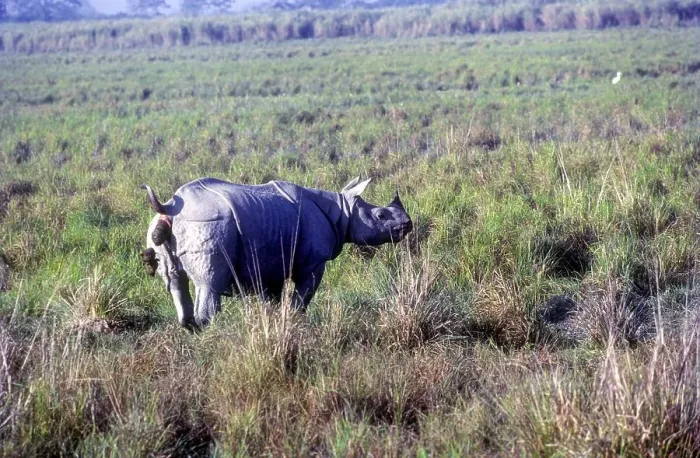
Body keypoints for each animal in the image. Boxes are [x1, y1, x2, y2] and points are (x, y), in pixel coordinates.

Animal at [140, 177, 412, 328]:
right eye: (381, 215)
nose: (408, 224)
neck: (343, 210)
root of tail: (170, 205)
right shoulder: (314, 263)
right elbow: (302, 298)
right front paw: (296, 323)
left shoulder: (270, 261)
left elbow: (271, 298)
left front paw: (271, 323)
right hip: (208, 221)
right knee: (210, 283)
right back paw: (214, 334)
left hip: (160, 224)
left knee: (176, 280)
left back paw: (192, 330)